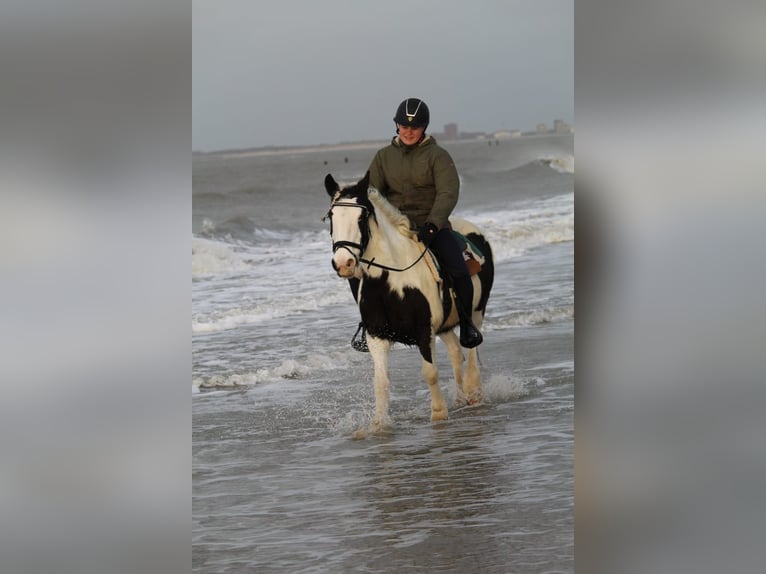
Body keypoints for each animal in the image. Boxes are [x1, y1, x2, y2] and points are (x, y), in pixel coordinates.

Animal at [324, 171, 498, 436]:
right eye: (332, 216)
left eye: (361, 216)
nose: (344, 263)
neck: (392, 281)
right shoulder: (377, 336)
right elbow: (381, 382)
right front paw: (379, 424)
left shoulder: (424, 331)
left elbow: (430, 372)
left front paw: (438, 414)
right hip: (445, 326)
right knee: (456, 353)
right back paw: (459, 398)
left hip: (477, 311)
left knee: (471, 349)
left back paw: (473, 392)